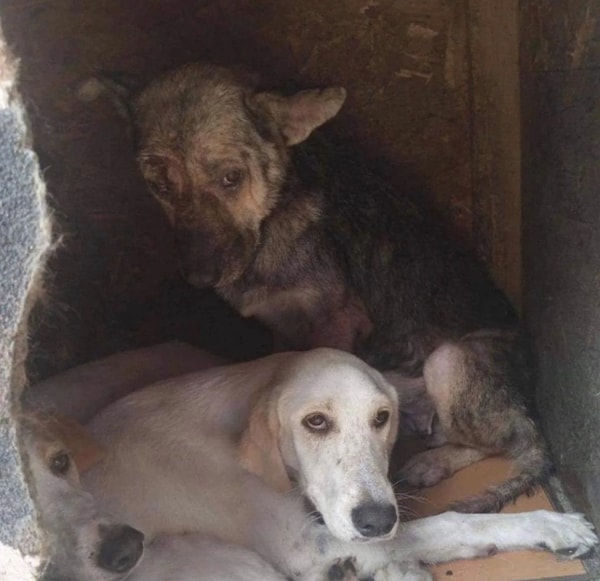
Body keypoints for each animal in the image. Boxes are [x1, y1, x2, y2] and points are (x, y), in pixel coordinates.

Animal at [81, 348, 600, 580]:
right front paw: (551, 525)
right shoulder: (305, 545)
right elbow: (449, 523)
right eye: (315, 422)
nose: (377, 521)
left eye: (382, 418)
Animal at [96, 61, 552, 510]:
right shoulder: (282, 331)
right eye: (159, 186)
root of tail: (528, 409)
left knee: (494, 441)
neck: (272, 222)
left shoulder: (338, 322)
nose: (199, 277)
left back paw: (435, 461)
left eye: (231, 178)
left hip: (450, 358)